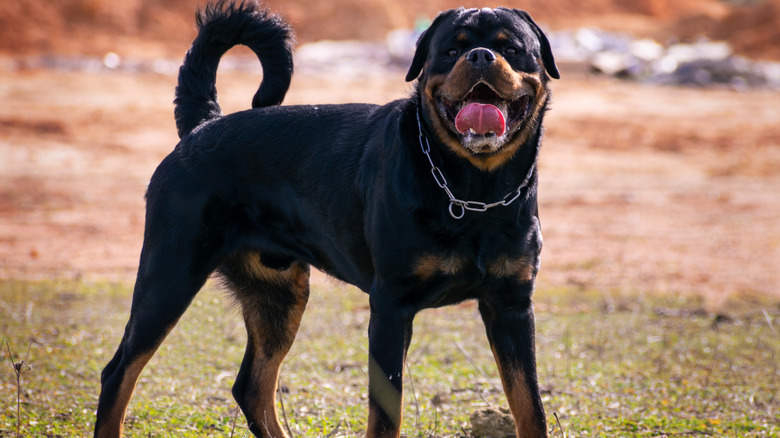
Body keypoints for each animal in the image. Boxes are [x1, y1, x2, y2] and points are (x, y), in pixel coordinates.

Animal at [96, 1, 560, 436]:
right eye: (451, 50)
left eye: (512, 49)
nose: (480, 56)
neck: (476, 191)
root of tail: (201, 127)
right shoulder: (390, 306)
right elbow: (385, 415)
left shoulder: (512, 305)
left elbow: (530, 407)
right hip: (170, 276)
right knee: (119, 371)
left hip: (279, 294)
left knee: (252, 387)